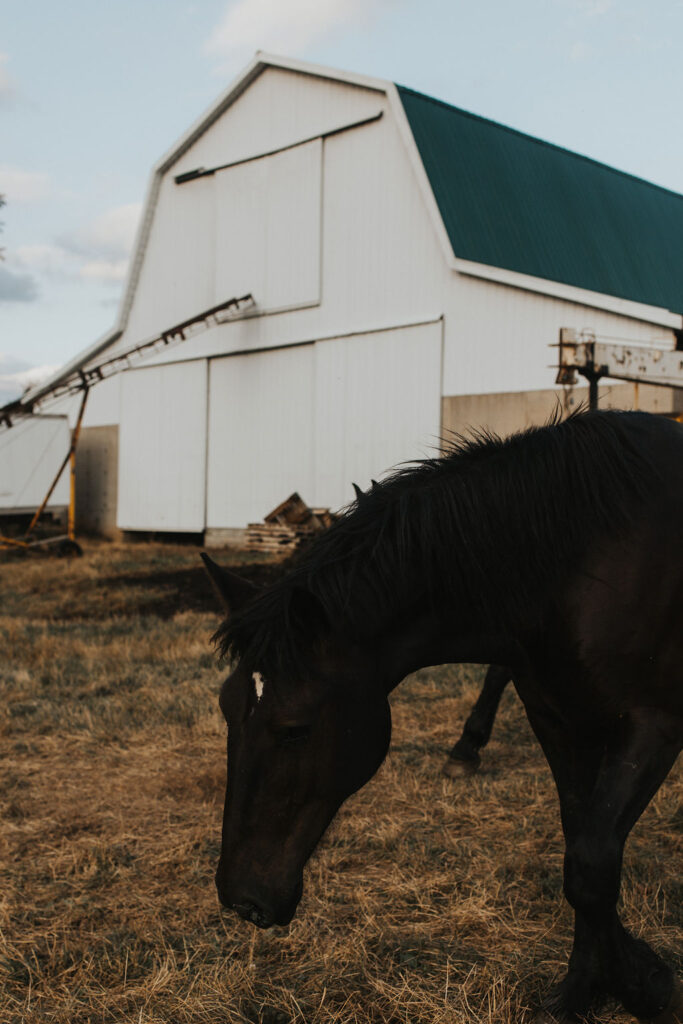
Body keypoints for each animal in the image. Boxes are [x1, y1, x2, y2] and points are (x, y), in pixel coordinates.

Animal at [204, 409, 683, 1024]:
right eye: (225, 709)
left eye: (294, 730)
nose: (240, 898)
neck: (586, 561)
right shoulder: (558, 720)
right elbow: (582, 847)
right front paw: (592, 983)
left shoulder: (651, 726)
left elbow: (593, 863)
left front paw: (643, 984)